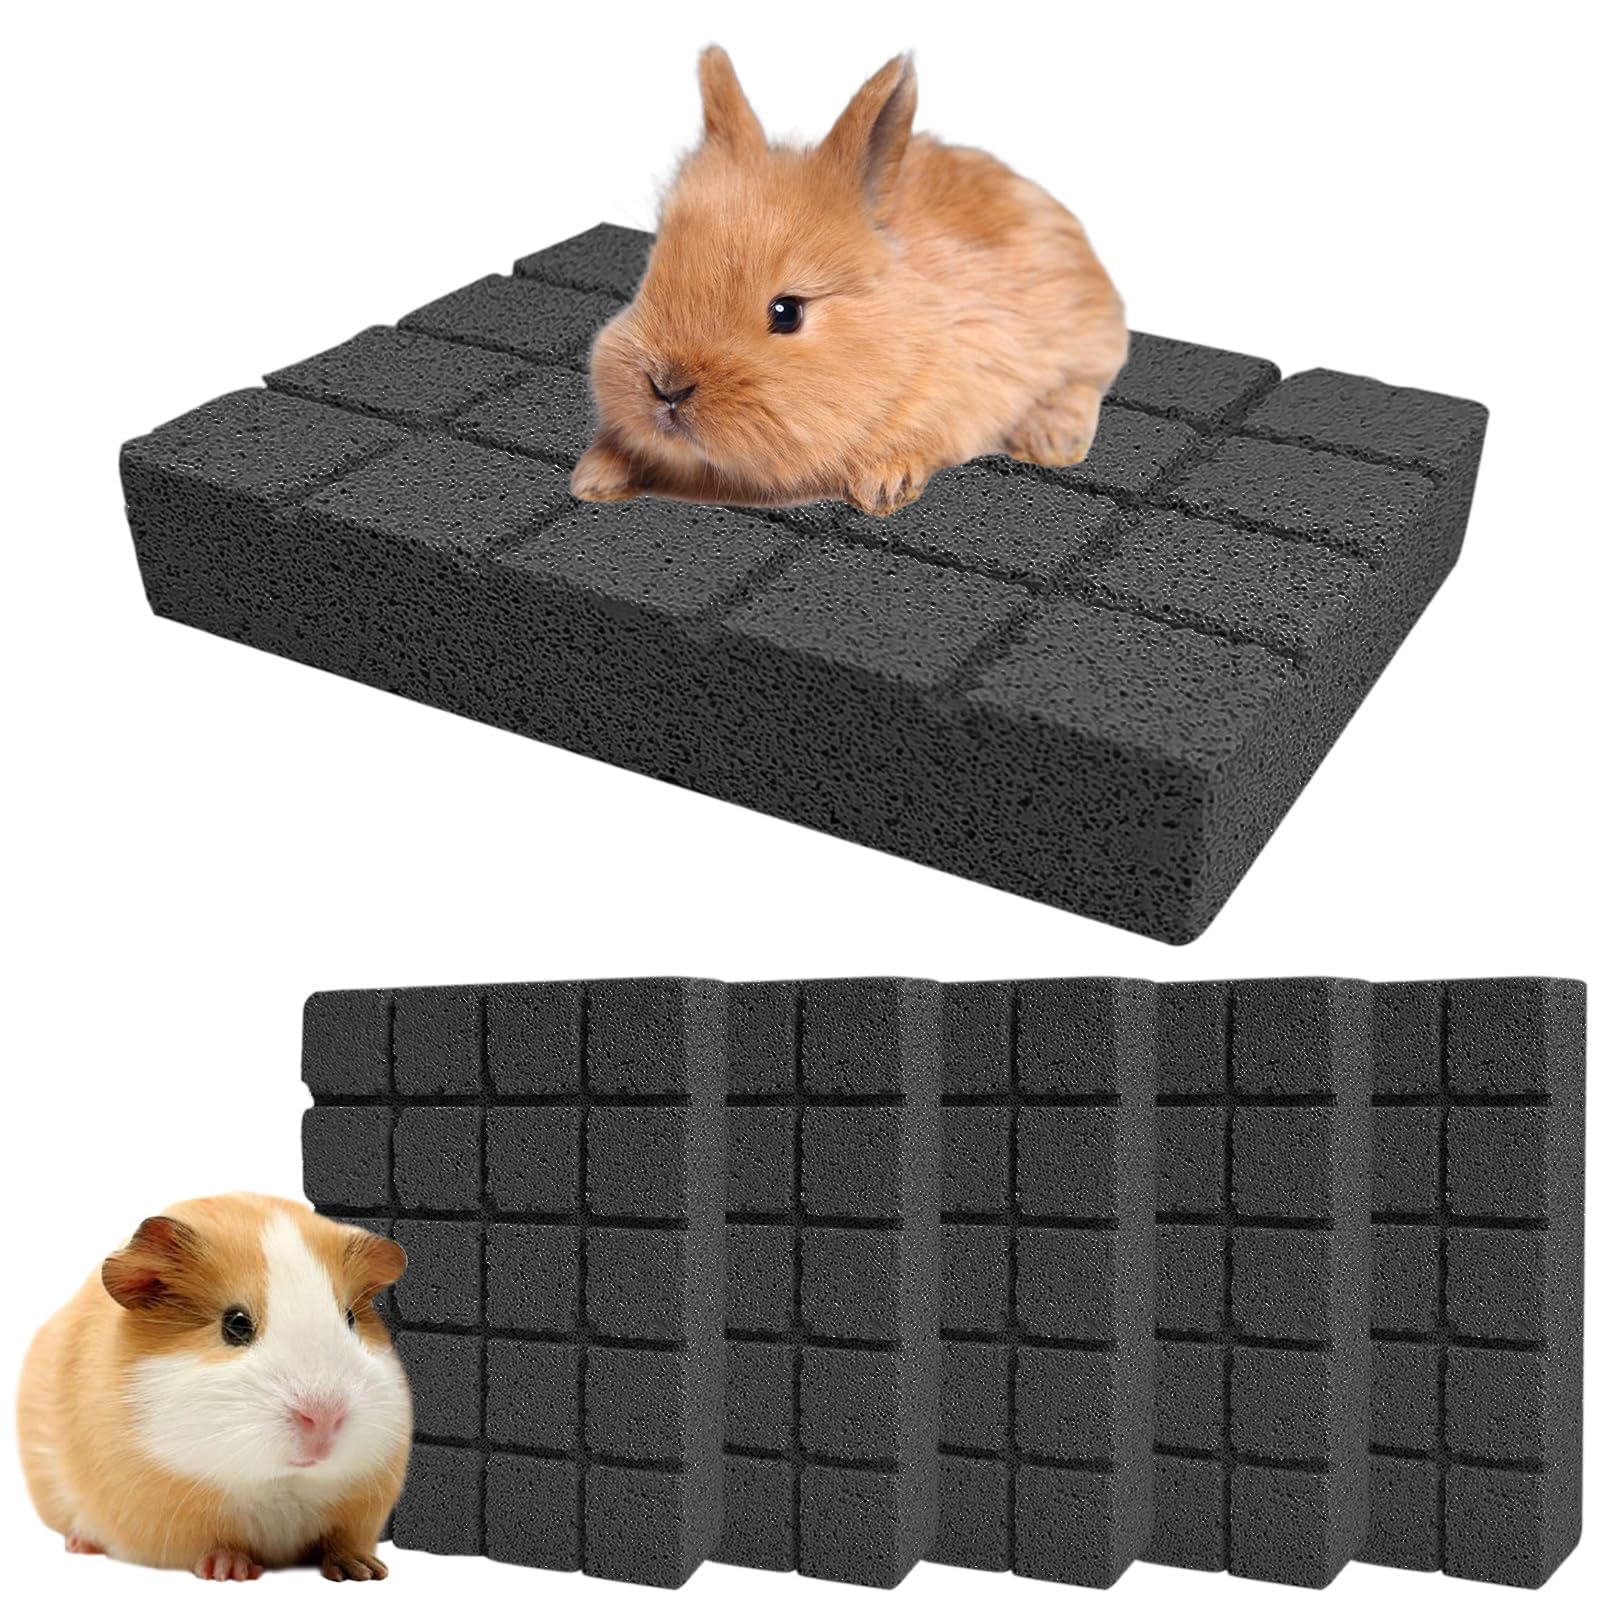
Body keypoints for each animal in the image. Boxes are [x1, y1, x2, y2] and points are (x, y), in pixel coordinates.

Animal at [16, 1194, 410, 1582]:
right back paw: (80, 1544)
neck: (281, 1483)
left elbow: (342, 1540)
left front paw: (366, 1571)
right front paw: (232, 1571)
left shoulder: (359, 1508)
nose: (324, 1417)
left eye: (350, 1319)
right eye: (235, 1324)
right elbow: (215, 1545)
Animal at [572, 46, 1127, 516]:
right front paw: (593, 477)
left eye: (787, 312)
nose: (667, 387)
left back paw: (1054, 440)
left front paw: (883, 486)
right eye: (650, 277)